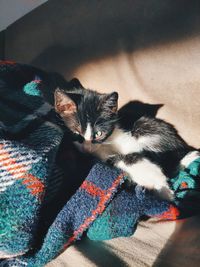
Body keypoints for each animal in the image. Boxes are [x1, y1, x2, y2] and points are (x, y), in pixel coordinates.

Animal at [54, 80, 199, 200]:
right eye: (76, 133)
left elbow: (132, 156)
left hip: (143, 126)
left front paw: (156, 180)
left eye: (98, 133)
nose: (87, 148)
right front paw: (155, 180)